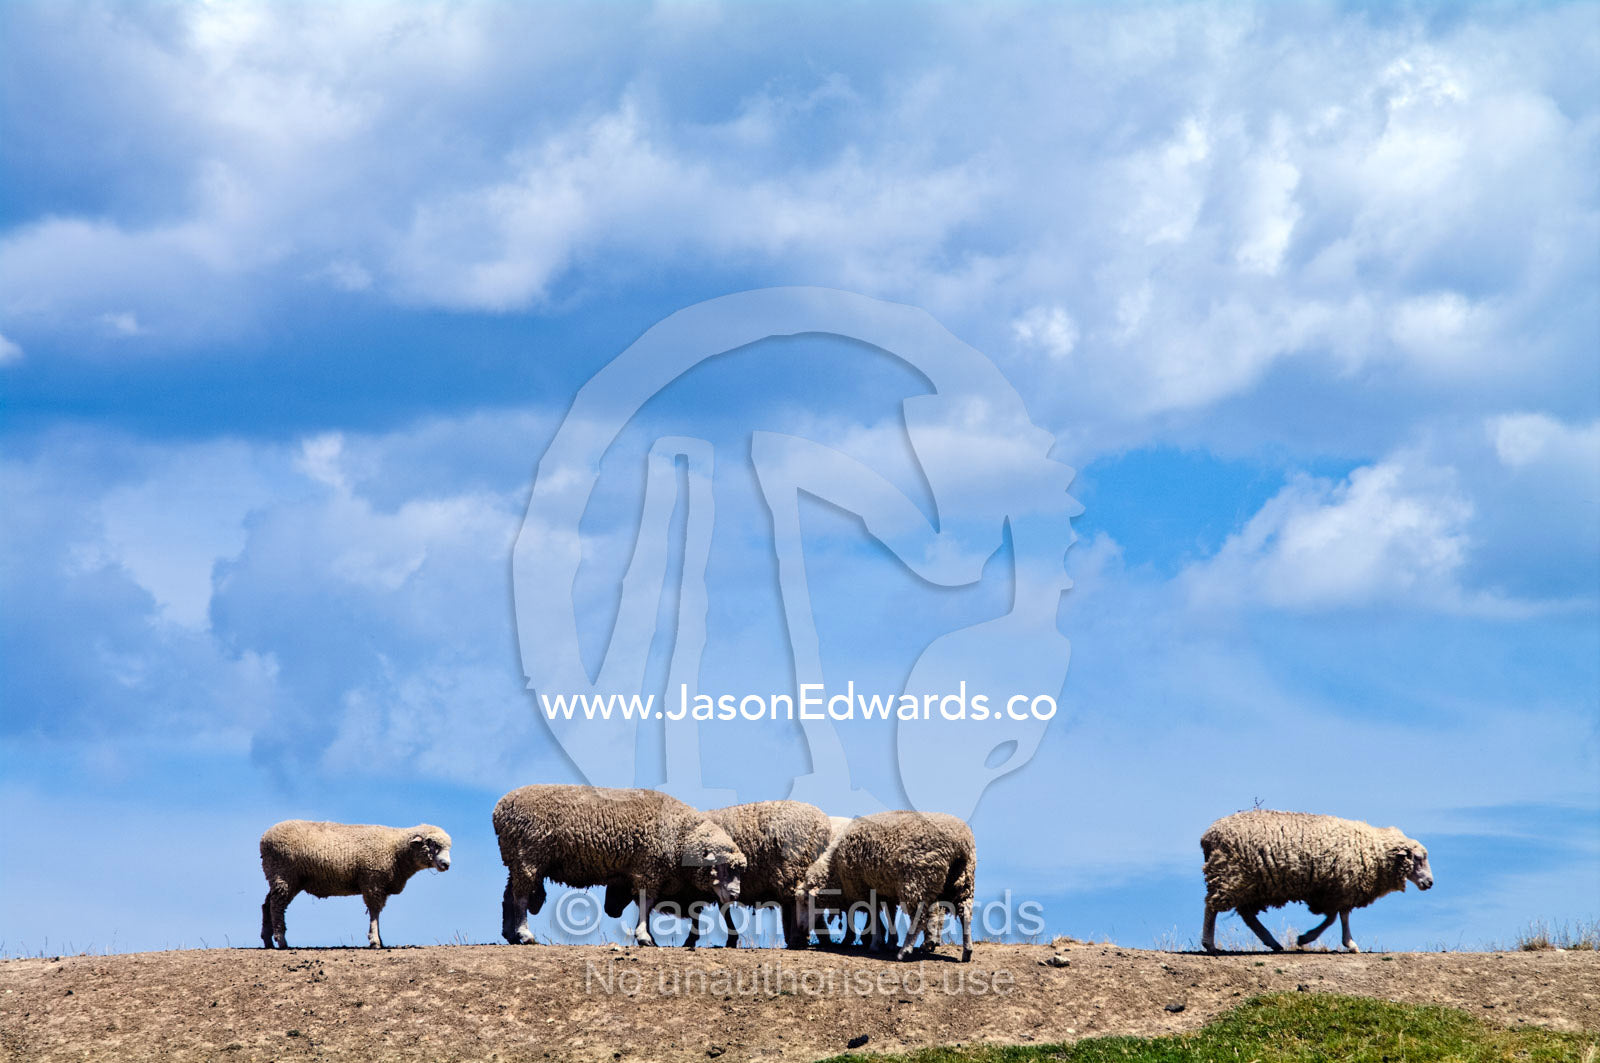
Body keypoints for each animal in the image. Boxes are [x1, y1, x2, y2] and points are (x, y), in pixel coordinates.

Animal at [259, 820, 452, 949]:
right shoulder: (372, 881)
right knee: (276, 906)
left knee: (267, 904)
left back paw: (268, 940)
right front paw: (375, 940)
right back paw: (281, 941)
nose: (446, 865)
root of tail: (265, 836)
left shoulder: (380, 885)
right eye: (432, 844)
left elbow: (377, 912)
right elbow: (374, 912)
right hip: (283, 874)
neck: (397, 850)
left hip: (285, 879)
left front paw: (379, 938)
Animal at [493, 784, 747, 947]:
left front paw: (649, 936)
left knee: (508, 895)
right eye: (723, 866)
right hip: (528, 856)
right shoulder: (648, 868)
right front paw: (644, 936)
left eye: (738, 870)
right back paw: (525, 933)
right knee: (521, 895)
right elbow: (646, 903)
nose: (735, 894)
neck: (680, 835)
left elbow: (647, 904)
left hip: (517, 859)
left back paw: (510, 934)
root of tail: (501, 808)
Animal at [603, 800, 833, 948]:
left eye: (618, 882)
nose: (608, 910)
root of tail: (823, 825)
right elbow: (714, 911)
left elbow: (708, 912)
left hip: (791, 871)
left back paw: (800, 939)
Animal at [802, 810, 975, 962]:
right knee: (965, 912)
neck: (834, 866)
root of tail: (958, 844)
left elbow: (873, 913)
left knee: (920, 918)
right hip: (962, 881)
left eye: (804, 902)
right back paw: (966, 951)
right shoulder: (883, 889)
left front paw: (875, 943)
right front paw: (887, 941)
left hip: (918, 880)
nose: (802, 931)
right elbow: (887, 914)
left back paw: (905, 951)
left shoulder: (863, 887)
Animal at [1200, 809, 1433, 954]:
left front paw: (1345, 942)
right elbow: (1334, 918)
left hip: (1249, 883)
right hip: (1230, 875)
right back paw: (1209, 944)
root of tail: (1208, 836)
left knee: (1247, 914)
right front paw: (1310, 939)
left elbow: (1338, 916)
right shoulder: (1339, 888)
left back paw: (1271, 942)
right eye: (1418, 858)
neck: (1374, 851)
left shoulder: (1337, 889)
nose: (1430, 883)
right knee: (1211, 907)